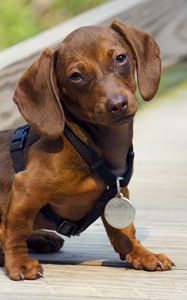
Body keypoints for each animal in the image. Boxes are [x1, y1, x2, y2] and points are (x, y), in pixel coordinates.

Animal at [0, 19, 174, 280]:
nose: (117, 104)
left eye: (121, 58)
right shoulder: (26, 188)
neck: (95, 145)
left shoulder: (118, 192)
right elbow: (17, 228)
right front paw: (19, 263)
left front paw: (142, 253)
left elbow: (124, 231)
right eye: (76, 76)